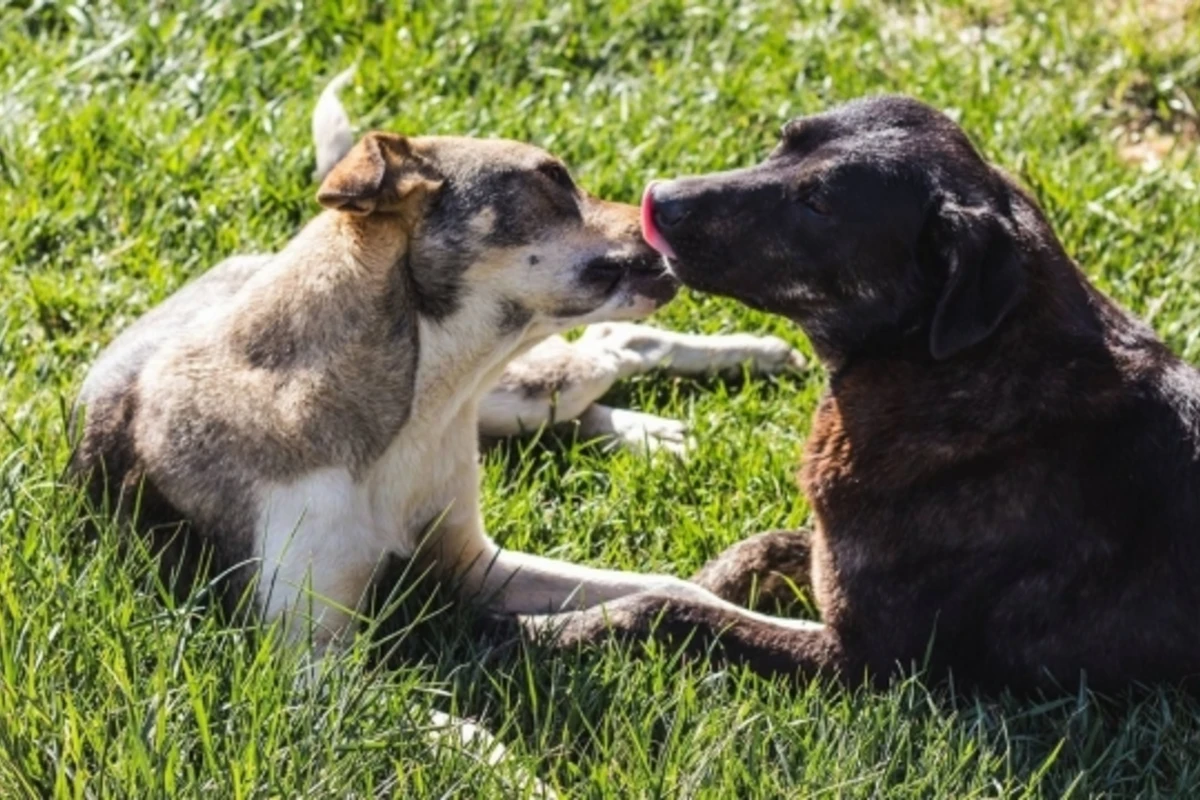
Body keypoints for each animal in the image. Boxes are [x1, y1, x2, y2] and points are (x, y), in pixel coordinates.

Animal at [537, 94, 1200, 695]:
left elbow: (676, 613)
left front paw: (558, 631)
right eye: (785, 140)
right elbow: (749, 552)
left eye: (819, 204)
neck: (949, 364)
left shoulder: (867, 659)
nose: (659, 198)